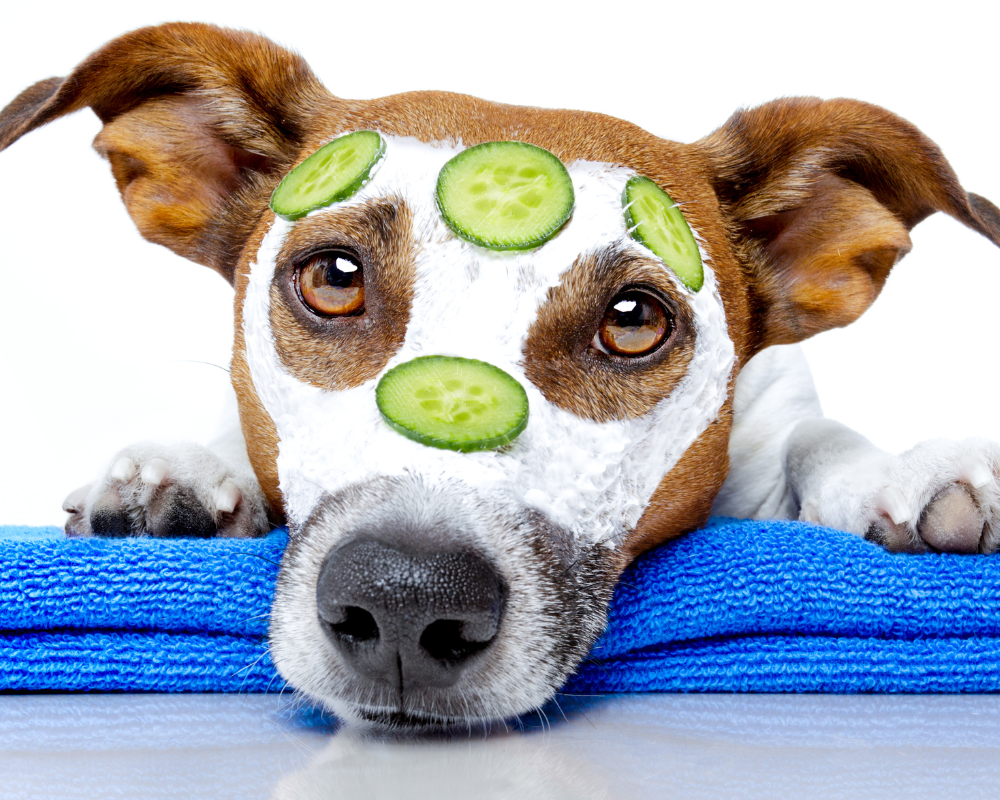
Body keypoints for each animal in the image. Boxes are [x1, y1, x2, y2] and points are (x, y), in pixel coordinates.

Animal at [3, 20, 996, 732]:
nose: (405, 604)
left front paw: (902, 474)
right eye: (333, 277)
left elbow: (819, 439)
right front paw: (176, 476)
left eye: (632, 320)